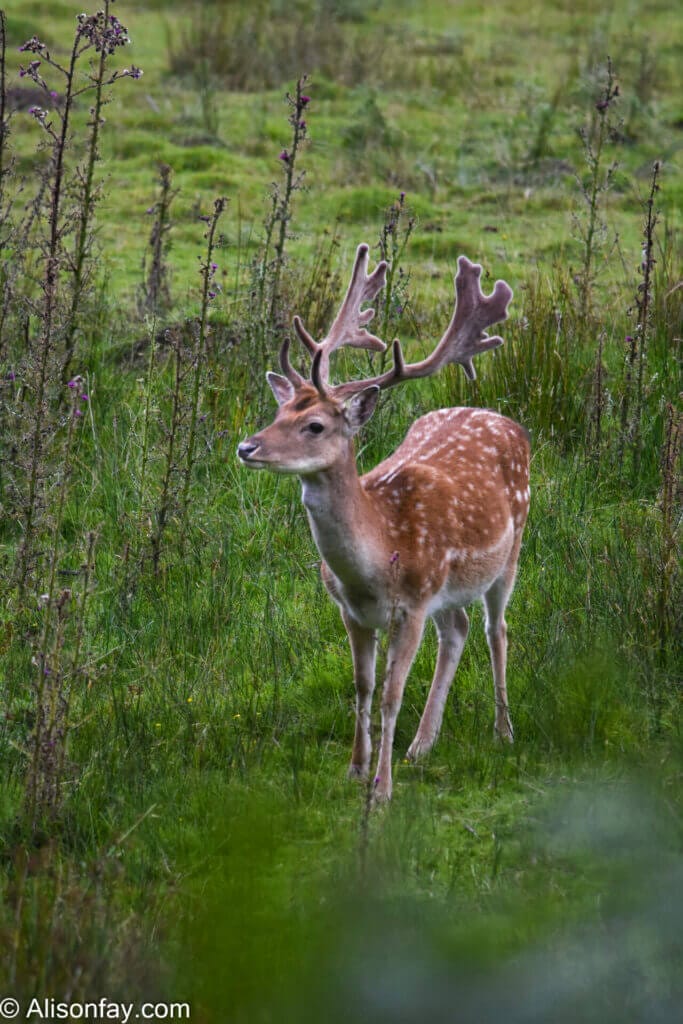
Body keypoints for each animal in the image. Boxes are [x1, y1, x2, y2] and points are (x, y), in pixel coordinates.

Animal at [237, 243, 532, 802]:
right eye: (279, 411)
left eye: (314, 425)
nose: (247, 447)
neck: (375, 562)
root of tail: (508, 421)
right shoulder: (350, 609)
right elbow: (363, 687)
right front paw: (356, 768)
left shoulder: (412, 606)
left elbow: (392, 695)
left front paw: (382, 788)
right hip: (449, 587)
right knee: (458, 628)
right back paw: (422, 745)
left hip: (512, 549)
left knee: (495, 627)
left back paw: (504, 732)